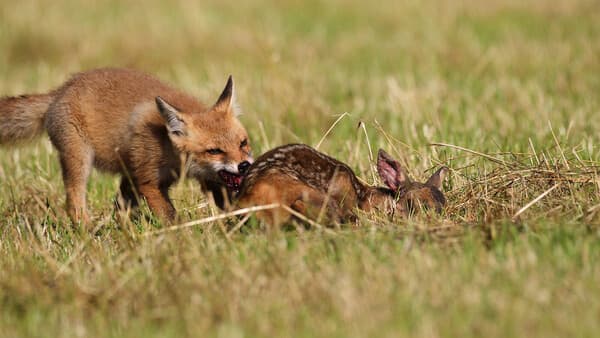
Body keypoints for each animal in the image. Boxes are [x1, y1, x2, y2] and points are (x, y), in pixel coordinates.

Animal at [0, 67, 253, 223]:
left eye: (243, 143)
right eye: (214, 151)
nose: (244, 166)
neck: (166, 145)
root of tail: (59, 91)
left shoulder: (209, 179)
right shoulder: (148, 182)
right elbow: (169, 216)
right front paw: (182, 236)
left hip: (126, 176)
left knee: (118, 208)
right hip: (80, 161)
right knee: (74, 201)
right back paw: (86, 230)